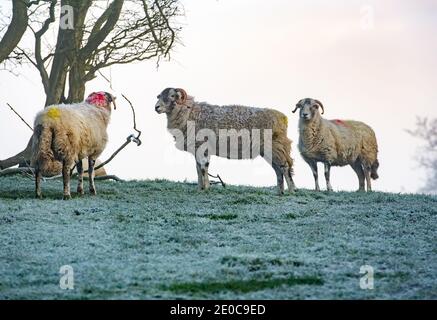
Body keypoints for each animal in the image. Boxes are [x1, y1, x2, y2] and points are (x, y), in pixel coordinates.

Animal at [155, 86, 294, 194]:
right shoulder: (196, 148)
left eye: (172, 96)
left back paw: (292, 191)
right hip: (268, 150)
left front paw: (206, 189)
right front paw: (200, 188)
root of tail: (283, 118)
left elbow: (204, 167)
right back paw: (280, 191)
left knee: (285, 167)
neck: (190, 113)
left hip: (276, 146)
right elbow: (198, 168)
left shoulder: (203, 146)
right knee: (278, 169)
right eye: (159, 96)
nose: (156, 107)